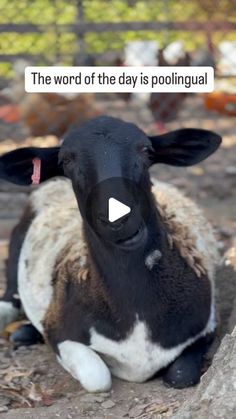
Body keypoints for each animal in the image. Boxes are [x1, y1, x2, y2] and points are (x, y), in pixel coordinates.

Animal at [0, 117, 221, 394]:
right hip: (17, 240)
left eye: (146, 150)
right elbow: (97, 378)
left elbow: (180, 375)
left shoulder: (207, 326)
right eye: (66, 161)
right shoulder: (61, 333)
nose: (118, 220)